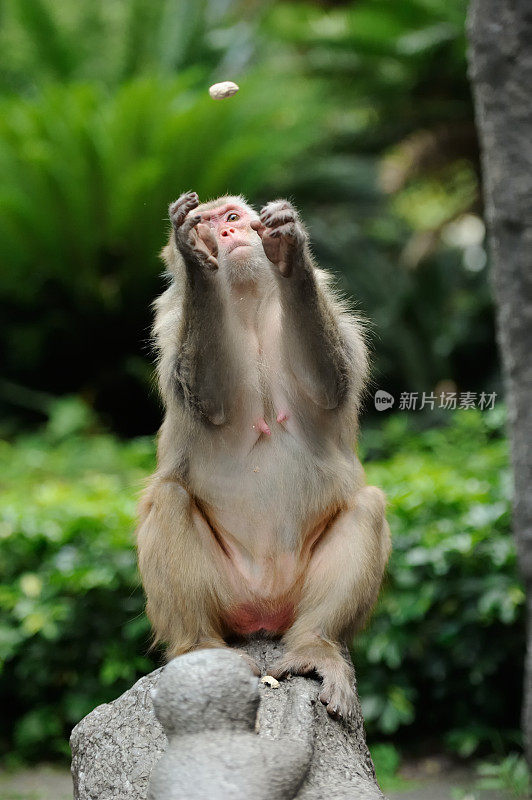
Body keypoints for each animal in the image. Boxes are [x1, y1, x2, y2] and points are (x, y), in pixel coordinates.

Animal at [137, 192, 390, 720]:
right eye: (209, 223)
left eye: (232, 217)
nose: (227, 233)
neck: (251, 304)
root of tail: (265, 612)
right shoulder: (172, 323)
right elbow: (207, 398)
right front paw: (194, 255)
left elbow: (329, 380)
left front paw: (290, 253)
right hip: (228, 594)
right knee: (170, 498)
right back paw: (200, 649)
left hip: (296, 596)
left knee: (368, 506)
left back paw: (316, 645)